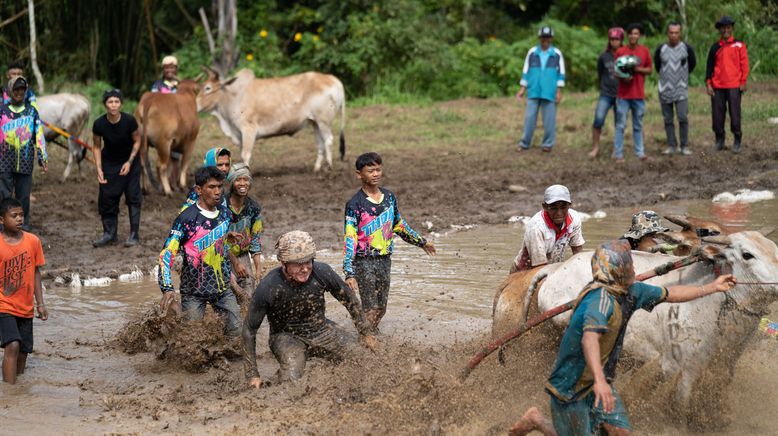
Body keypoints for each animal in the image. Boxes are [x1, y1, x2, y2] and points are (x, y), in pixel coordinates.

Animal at [197, 67, 346, 170]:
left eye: (208, 88)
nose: (196, 104)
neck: (233, 96)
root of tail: (334, 80)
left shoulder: (248, 129)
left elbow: (245, 155)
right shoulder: (239, 134)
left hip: (324, 121)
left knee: (328, 140)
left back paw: (329, 167)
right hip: (315, 122)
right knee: (320, 143)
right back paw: (316, 169)